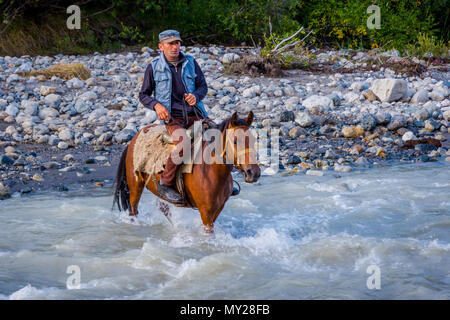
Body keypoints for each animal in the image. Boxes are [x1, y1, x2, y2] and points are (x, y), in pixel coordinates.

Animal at [112, 110, 260, 232]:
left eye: (254, 139)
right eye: (235, 141)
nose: (254, 173)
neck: (212, 171)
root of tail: (133, 140)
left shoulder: (218, 209)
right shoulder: (206, 212)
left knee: (163, 207)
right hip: (135, 186)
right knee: (134, 211)